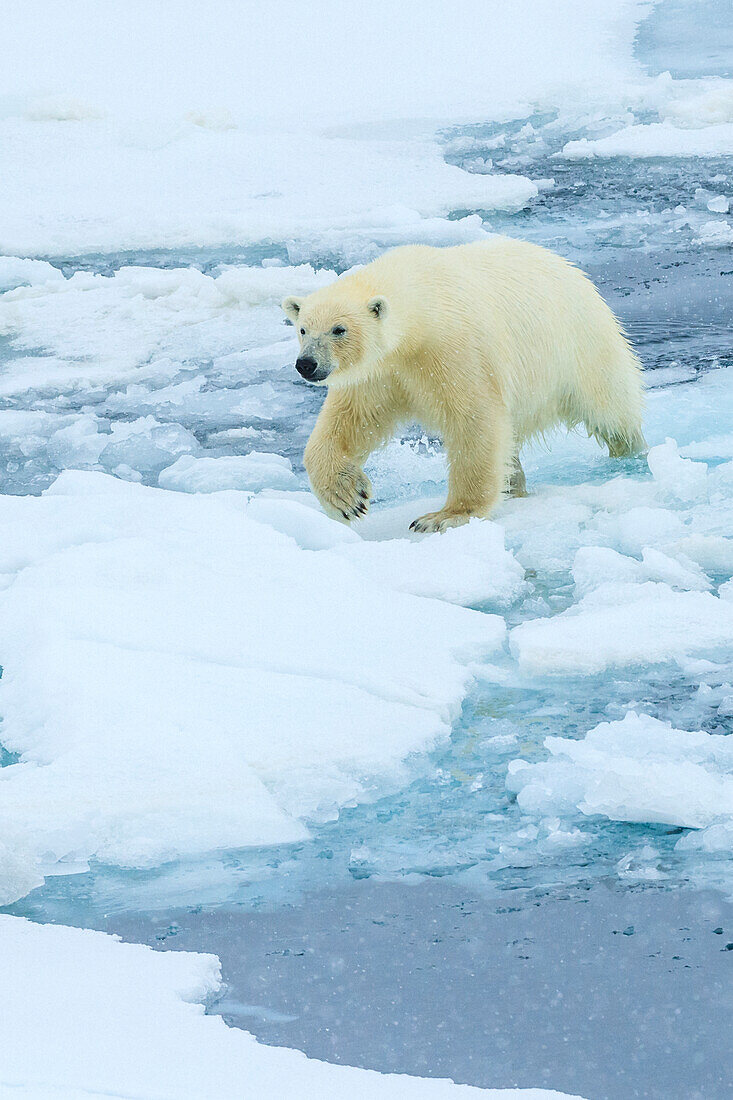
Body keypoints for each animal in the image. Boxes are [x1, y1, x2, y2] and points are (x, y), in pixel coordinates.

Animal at [281, 240, 642, 532]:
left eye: (339, 329)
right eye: (303, 328)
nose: (307, 364)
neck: (422, 300)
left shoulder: (454, 347)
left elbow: (474, 419)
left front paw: (444, 516)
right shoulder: (380, 370)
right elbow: (350, 421)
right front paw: (348, 498)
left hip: (580, 346)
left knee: (610, 407)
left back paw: (630, 452)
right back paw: (515, 485)